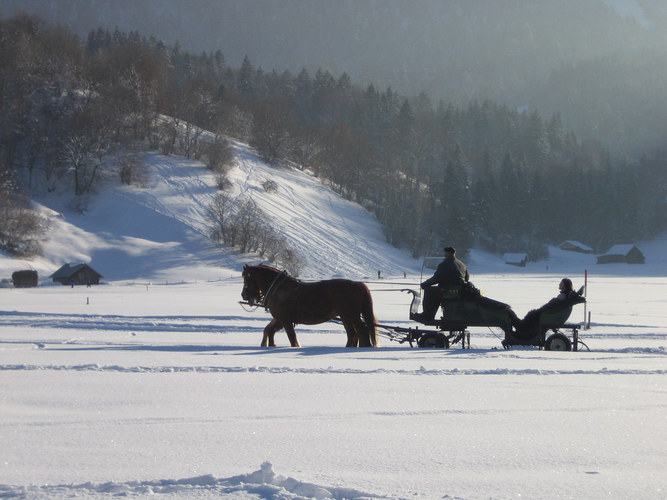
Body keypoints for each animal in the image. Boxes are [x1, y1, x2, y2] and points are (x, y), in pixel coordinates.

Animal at [241, 266, 378, 348]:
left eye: (247, 279)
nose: (243, 295)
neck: (279, 288)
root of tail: (356, 284)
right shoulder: (281, 319)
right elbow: (270, 330)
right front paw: (271, 344)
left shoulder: (285, 319)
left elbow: (292, 338)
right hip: (345, 317)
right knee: (353, 334)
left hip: (351, 315)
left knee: (361, 331)